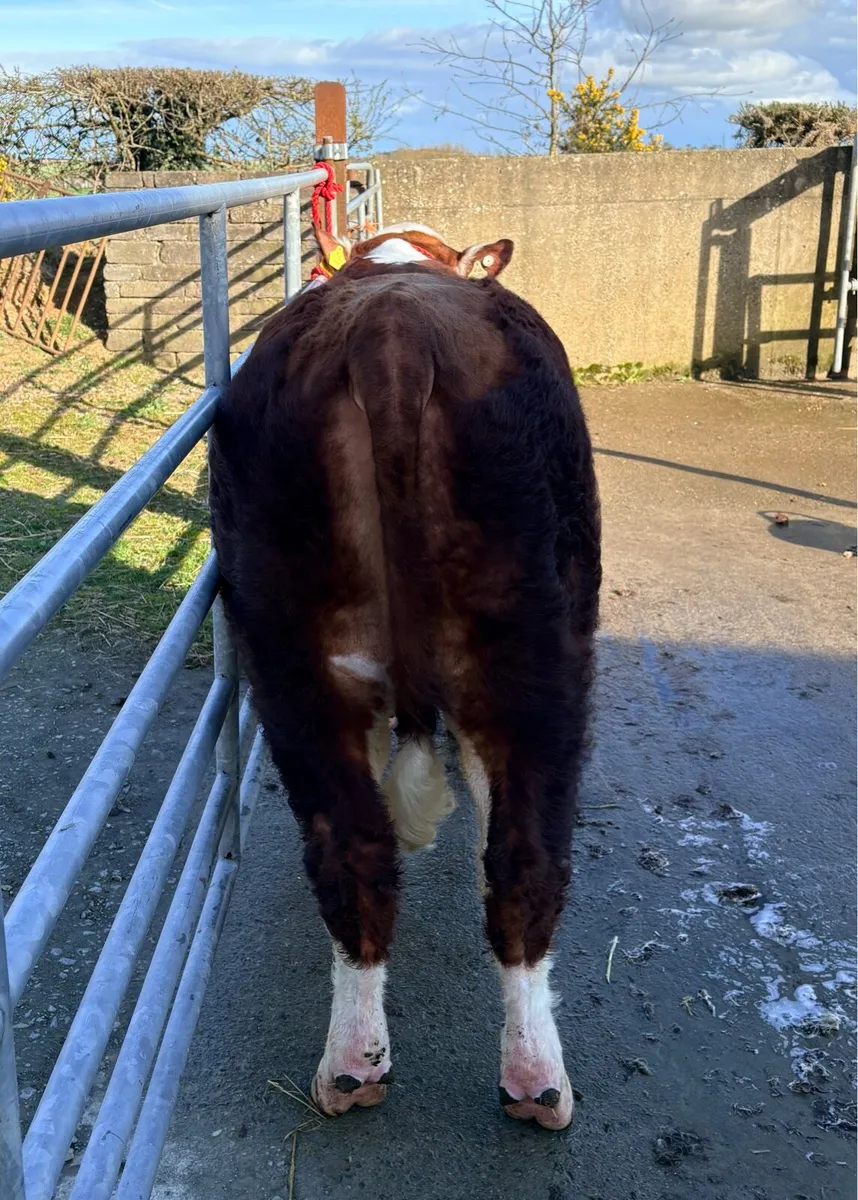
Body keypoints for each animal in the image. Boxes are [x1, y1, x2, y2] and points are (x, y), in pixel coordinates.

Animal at [208, 220, 601, 1131]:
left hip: (294, 653)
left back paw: (353, 1062)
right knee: (527, 862)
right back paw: (537, 1079)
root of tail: (391, 331)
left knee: (353, 848)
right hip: (536, 652)